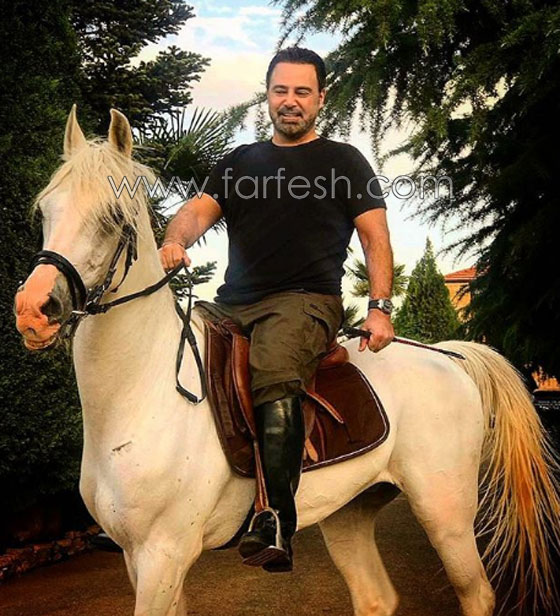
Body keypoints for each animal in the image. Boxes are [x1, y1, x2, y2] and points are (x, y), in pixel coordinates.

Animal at [14, 105, 560, 616]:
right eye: (46, 210)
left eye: (113, 218)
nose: (34, 310)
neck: (144, 391)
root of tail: (448, 355)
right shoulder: (139, 560)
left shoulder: (161, 556)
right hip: (350, 513)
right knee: (376, 598)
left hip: (445, 513)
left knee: (477, 594)